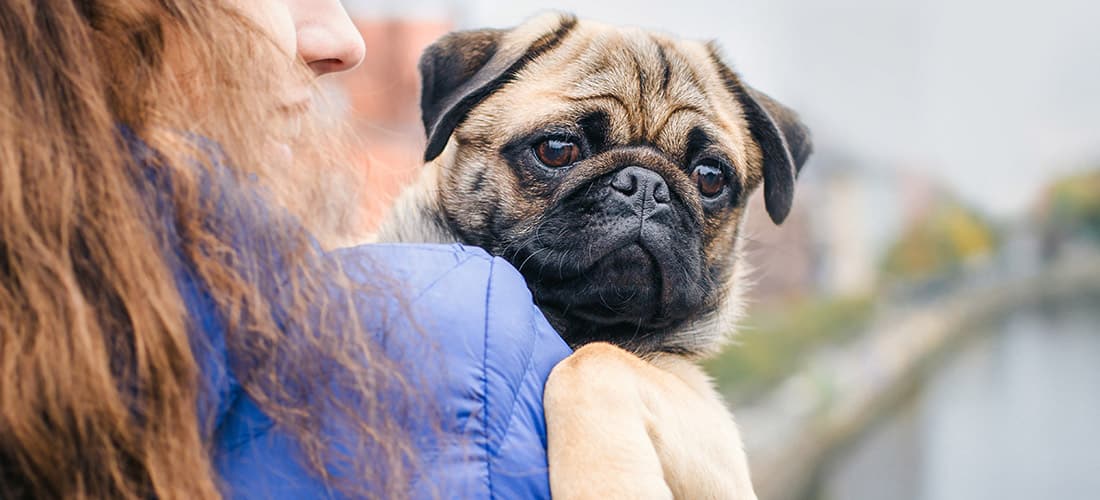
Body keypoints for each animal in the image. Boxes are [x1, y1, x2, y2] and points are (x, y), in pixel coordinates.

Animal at [376, 12, 809, 500]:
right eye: (557, 149)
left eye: (711, 177)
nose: (646, 184)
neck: (576, 324)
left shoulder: (711, 437)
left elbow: (592, 362)